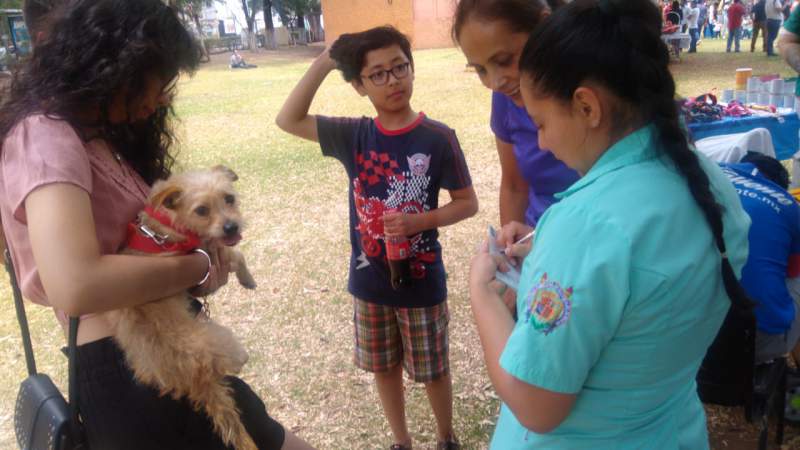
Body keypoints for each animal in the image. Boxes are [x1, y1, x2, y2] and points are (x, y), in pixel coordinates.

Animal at [108, 165, 258, 450]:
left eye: (229, 199)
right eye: (201, 210)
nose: (231, 226)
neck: (167, 221)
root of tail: (195, 378)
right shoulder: (206, 252)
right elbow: (237, 255)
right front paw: (248, 278)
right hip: (227, 342)